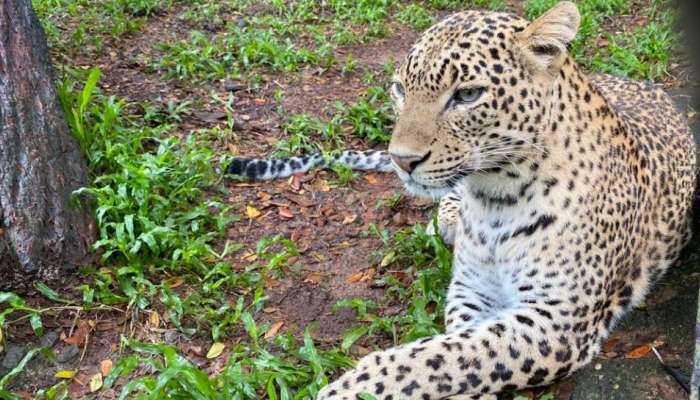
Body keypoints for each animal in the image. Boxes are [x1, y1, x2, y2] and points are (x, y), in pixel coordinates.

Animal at [316, 1, 696, 398]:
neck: (496, 200)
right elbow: (457, 344)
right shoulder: (471, 290)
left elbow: (447, 355)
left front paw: (348, 388)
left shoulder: (557, 322)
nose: (401, 160)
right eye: (400, 89)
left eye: (467, 95)